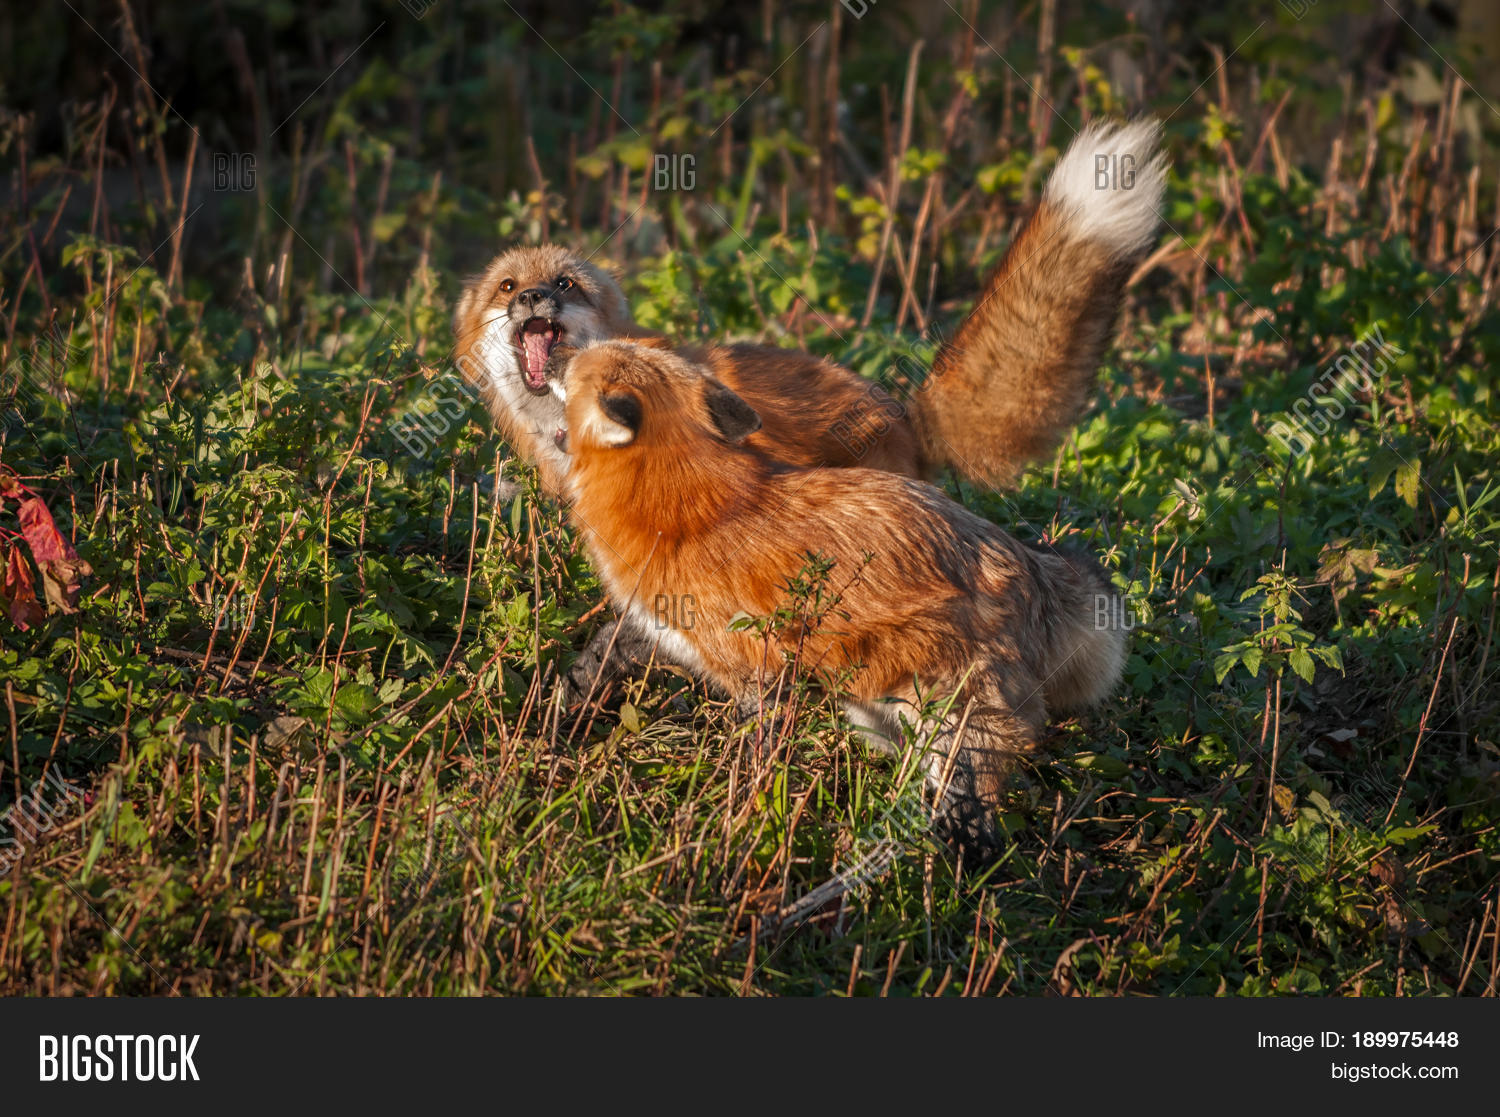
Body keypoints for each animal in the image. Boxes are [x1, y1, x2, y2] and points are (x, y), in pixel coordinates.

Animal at [556, 340, 1127, 849]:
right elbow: (601, 654)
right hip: (881, 714)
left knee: (975, 809)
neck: (684, 507)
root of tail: (1027, 564)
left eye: (579, 362)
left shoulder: (762, 671)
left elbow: (758, 753)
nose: (554, 346)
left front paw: (741, 813)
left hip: (952, 722)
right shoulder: (669, 629)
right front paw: (562, 713)